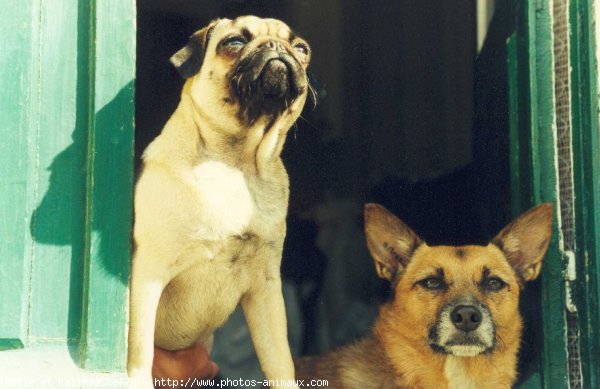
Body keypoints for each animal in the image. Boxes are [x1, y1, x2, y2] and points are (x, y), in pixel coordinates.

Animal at [129, 15, 312, 388]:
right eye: (235, 42)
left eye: (301, 49)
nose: (276, 46)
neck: (235, 163)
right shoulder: (148, 274)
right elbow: (140, 348)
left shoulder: (266, 288)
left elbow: (280, 359)